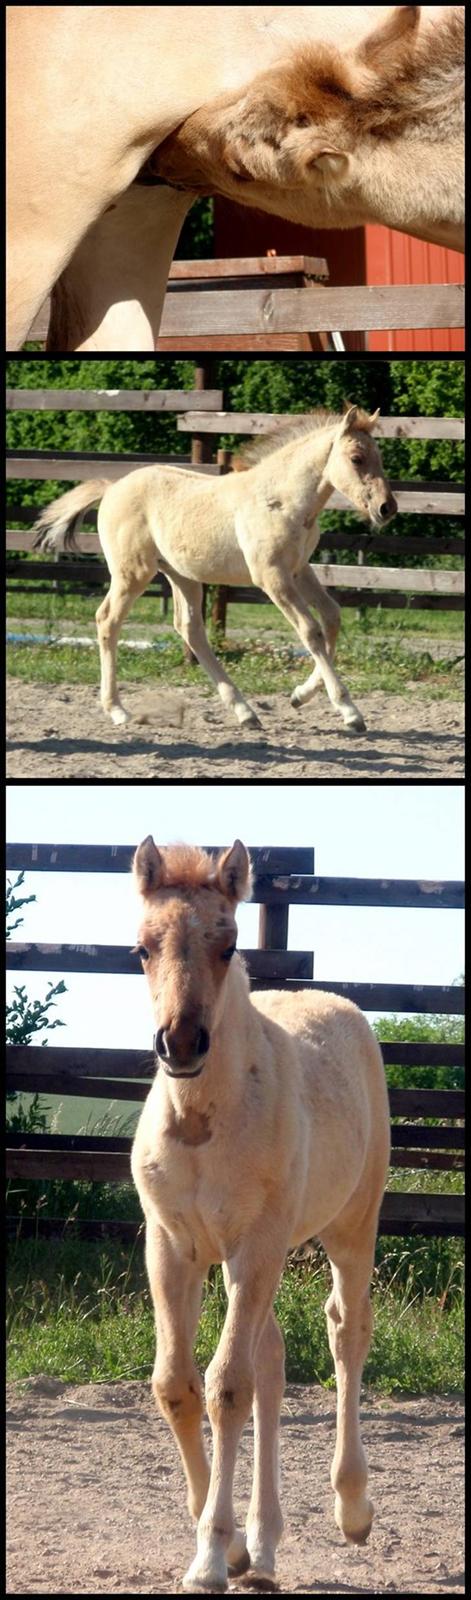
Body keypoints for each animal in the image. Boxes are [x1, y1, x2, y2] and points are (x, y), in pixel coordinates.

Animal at [32, 409, 397, 739]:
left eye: (379, 457)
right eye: (356, 458)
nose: (387, 508)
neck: (282, 500)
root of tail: (111, 488)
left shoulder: (299, 570)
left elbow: (331, 618)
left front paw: (299, 696)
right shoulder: (271, 576)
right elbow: (310, 631)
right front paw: (349, 712)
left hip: (182, 575)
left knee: (190, 629)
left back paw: (245, 712)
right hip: (132, 572)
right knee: (108, 620)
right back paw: (118, 710)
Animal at [129, 838, 389, 1587]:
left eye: (228, 944)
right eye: (141, 949)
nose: (181, 1043)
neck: (202, 1121)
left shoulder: (255, 1246)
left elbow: (226, 1387)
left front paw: (213, 1555)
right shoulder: (174, 1248)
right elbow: (177, 1385)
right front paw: (234, 1546)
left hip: (349, 1226)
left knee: (345, 1330)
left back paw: (351, 1507)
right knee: (272, 1360)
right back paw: (265, 1545)